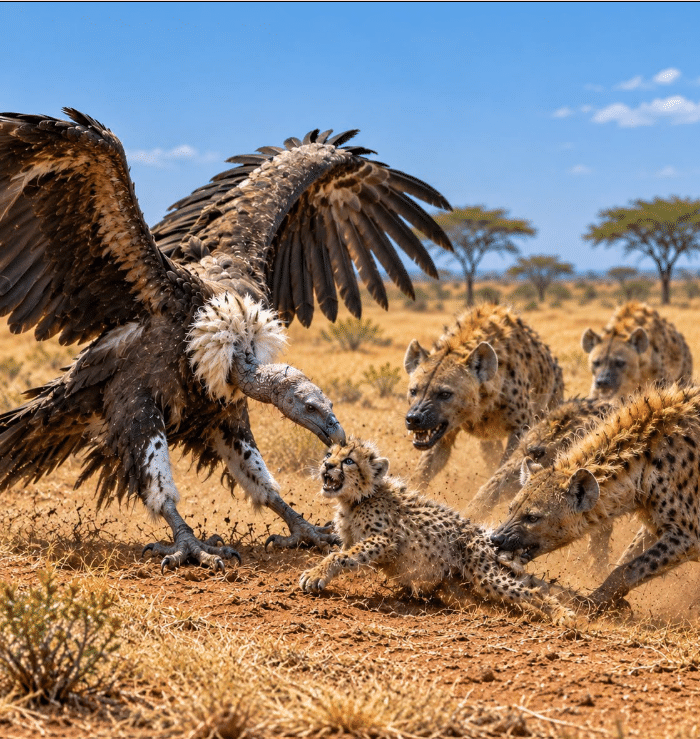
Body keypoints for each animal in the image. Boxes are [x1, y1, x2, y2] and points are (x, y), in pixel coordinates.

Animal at [299, 437, 578, 624]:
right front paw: (320, 570)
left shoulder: (385, 539)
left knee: (530, 592)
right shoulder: (353, 539)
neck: (356, 500)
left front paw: (315, 574)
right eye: (329, 454)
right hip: (457, 583)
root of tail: (486, 536)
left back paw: (563, 615)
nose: (327, 466)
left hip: (485, 576)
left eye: (348, 461)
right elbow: (342, 552)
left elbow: (340, 556)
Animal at [404, 304, 564, 487]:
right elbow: (424, 468)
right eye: (413, 391)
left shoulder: (522, 425)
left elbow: (507, 464)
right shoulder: (445, 432)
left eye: (445, 394)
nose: (414, 418)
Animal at [491, 383, 700, 612]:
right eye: (511, 509)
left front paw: (591, 603)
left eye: (533, 518)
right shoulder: (657, 519)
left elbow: (629, 568)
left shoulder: (688, 532)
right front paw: (611, 602)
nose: (496, 538)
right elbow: (628, 557)